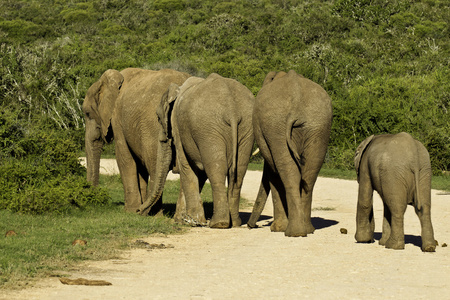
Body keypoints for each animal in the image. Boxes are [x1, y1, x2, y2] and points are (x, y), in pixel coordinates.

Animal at [82, 68, 190, 213]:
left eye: (87, 113)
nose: (93, 196)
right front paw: (137, 209)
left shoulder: (117, 118)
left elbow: (123, 158)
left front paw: (130, 211)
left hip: (153, 127)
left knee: (153, 165)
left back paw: (152, 213)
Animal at [139, 74, 255, 229]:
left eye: (158, 117)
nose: (138, 211)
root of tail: (232, 109)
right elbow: (199, 172)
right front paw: (185, 220)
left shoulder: (178, 127)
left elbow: (187, 167)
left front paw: (192, 221)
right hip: (247, 127)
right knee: (239, 172)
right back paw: (235, 223)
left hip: (208, 129)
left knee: (216, 169)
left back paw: (218, 223)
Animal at [246, 69, 330, 237]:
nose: (251, 226)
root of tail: (297, 103)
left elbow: (273, 172)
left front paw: (276, 229)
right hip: (318, 126)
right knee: (309, 173)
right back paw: (306, 230)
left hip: (277, 127)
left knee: (287, 172)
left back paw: (293, 232)